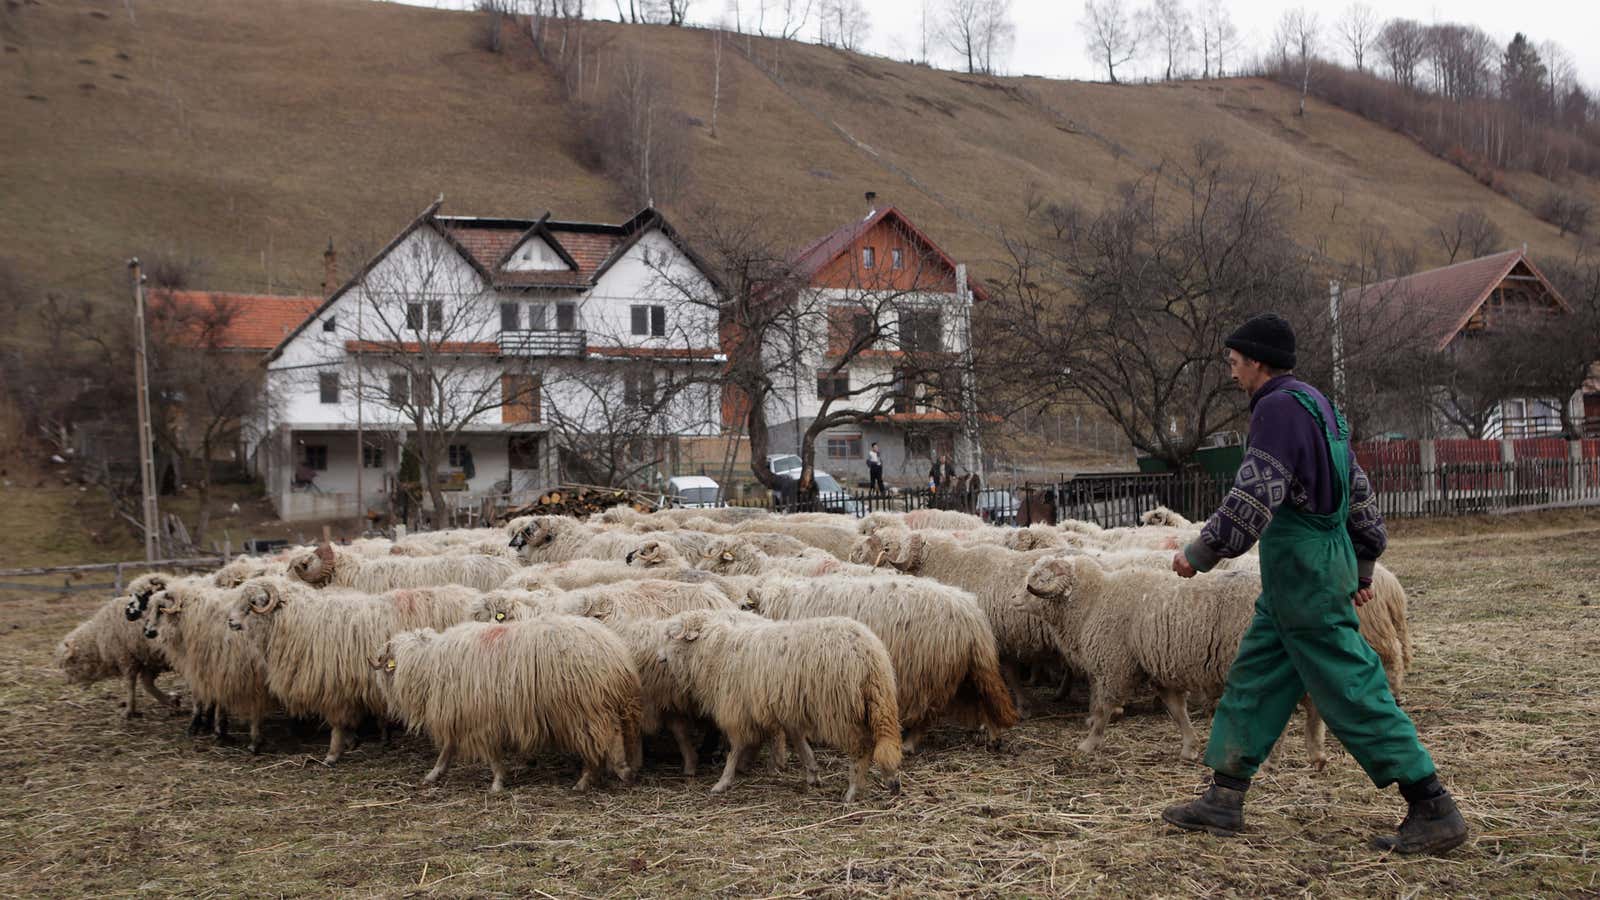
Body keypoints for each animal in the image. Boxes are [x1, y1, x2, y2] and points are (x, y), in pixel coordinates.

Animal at [649, 605, 902, 794]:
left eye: (671, 636)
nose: (658, 657)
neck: (715, 650)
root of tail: (870, 654)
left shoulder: (737, 708)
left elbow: (736, 747)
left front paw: (723, 781)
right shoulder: (785, 706)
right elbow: (798, 741)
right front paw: (812, 772)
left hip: (840, 708)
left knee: (863, 746)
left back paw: (853, 789)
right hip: (877, 701)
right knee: (884, 740)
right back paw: (891, 779)